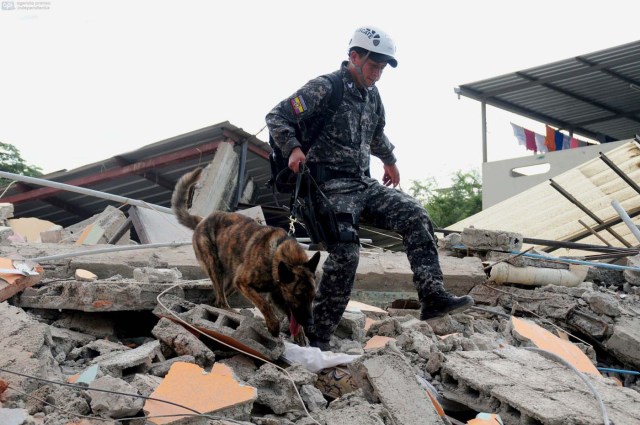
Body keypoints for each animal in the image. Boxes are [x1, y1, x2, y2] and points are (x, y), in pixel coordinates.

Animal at [171, 167, 322, 336]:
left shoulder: (279, 296)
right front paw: (273, 325)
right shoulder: (243, 282)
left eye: (313, 297)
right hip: (215, 267)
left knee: (215, 300)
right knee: (221, 300)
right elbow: (264, 304)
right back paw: (230, 311)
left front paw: (301, 337)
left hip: (231, 281)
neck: (276, 256)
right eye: (299, 295)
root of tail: (202, 220)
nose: (310, 323)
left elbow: (292, 318)